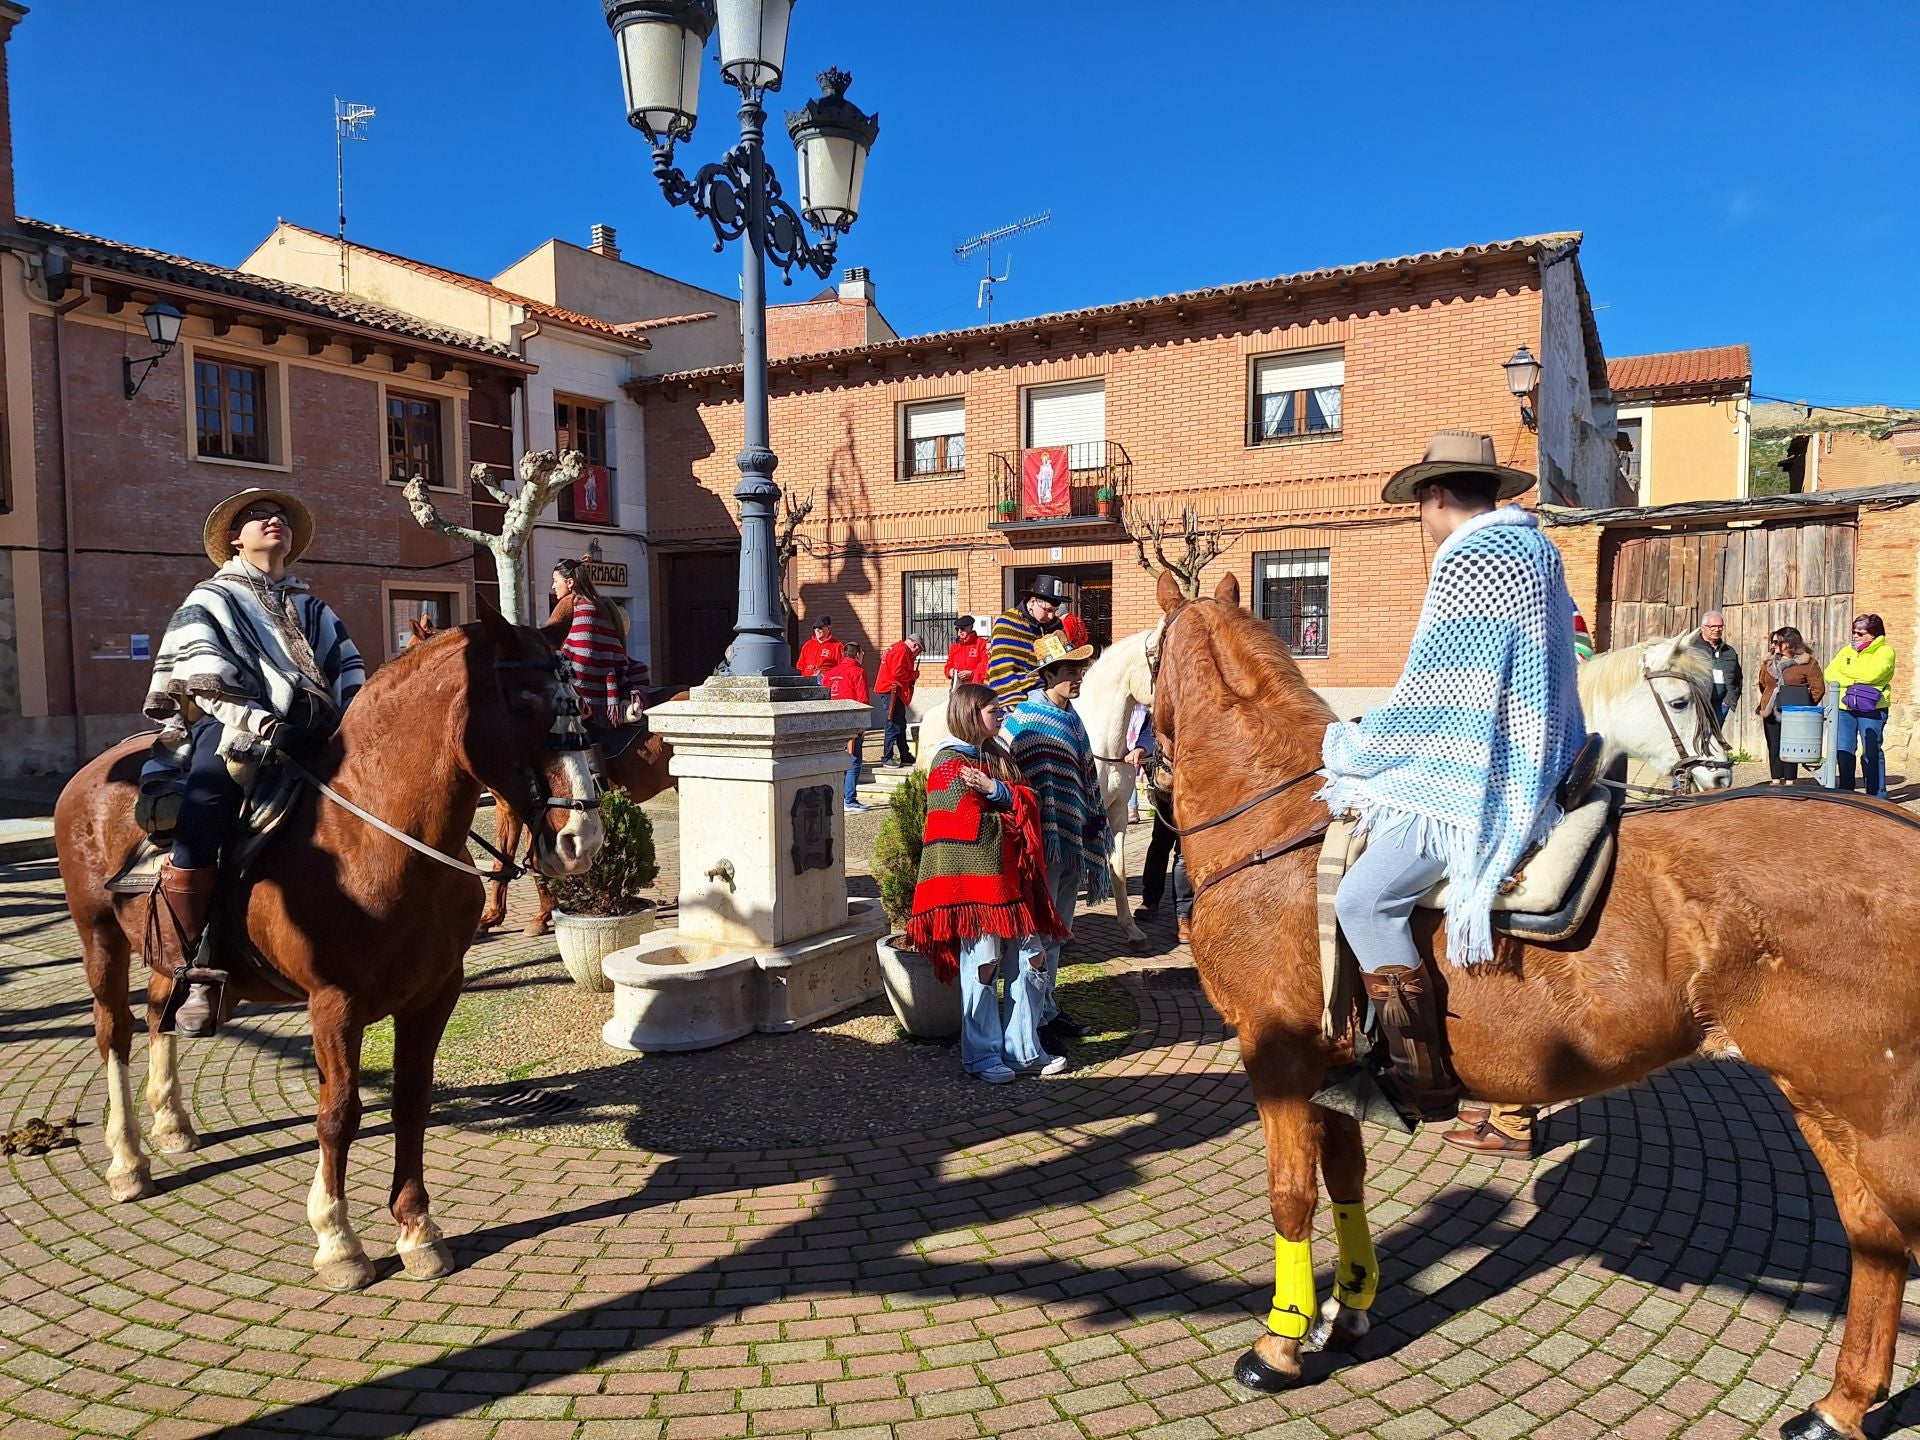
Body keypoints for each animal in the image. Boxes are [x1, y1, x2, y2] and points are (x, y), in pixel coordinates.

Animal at [56, 610, 599, 1297]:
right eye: (525, 702)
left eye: (580, 703)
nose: (582, 837)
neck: (373, 835)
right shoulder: (333, 1005)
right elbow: (338, 1113)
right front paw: (338, 1243)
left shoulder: (433, 995)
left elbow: (411, 1101)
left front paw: (418, 1231)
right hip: (99, 936)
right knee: (114, 1033)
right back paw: (128, 1161)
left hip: (165, 952)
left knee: (159, 1016)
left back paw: (173, 1124)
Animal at [1152, 576, 1920, 1440]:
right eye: (1682, 701)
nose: (1719, 770)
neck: (1280, 829)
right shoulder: (1331, 1066)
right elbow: (1345, 1180)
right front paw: (1346, 1312)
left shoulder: (1277, 1054)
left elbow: (1291, 1196)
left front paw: (1280, 1343)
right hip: (1828, 1103)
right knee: (1876, 1241)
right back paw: (1841, 1404)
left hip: (1868, 1108)